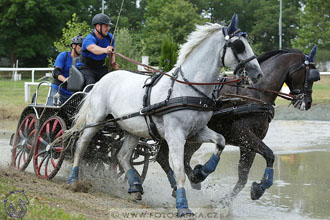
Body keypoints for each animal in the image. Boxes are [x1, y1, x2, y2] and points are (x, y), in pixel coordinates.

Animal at [157, 46, 320, 211]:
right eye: (311, 75)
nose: (308, 102)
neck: (254, 93)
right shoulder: (243, 134)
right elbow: (269, 154)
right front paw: (261, 187)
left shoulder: (248, 144)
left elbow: (243, 178)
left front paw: (226, 202)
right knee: (167, 157)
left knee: (177, 158)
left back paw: (191, 181)